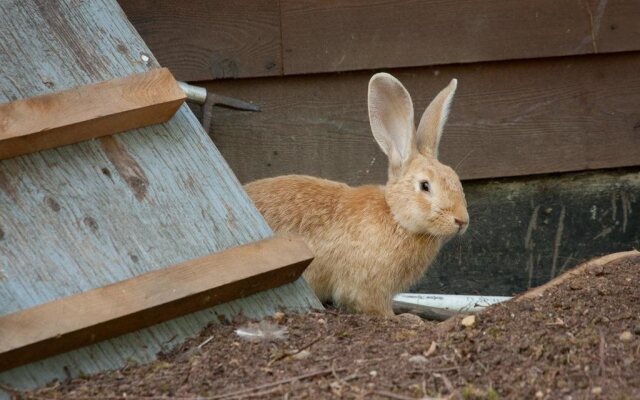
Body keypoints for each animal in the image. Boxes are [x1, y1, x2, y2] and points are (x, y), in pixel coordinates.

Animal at [245, 72, 470, 316]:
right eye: (425, 186)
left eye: (455, 178)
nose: (462, 220)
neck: (395, 217)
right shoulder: (367, 288)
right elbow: (375, 307)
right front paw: (404, 318)